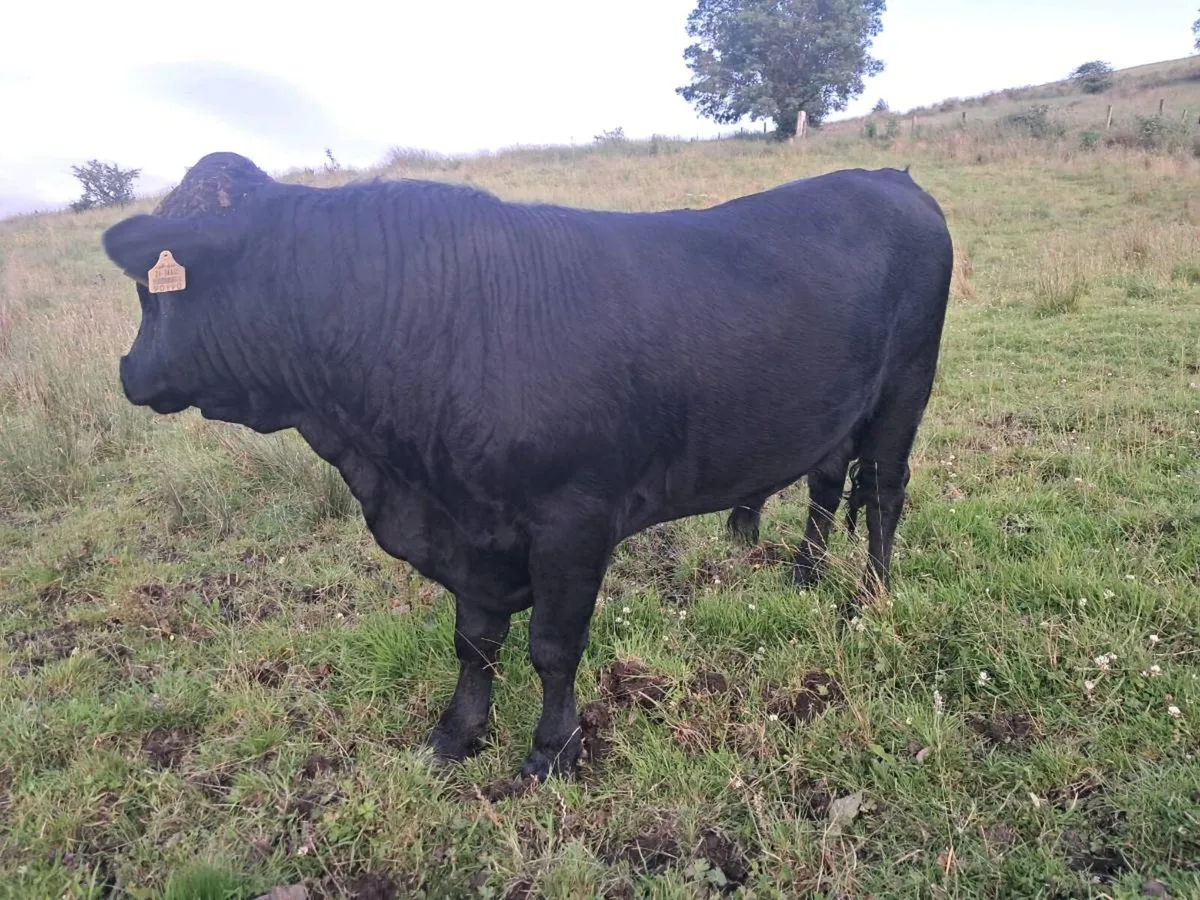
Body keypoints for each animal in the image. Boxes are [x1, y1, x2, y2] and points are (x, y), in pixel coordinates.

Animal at [101, 151, 953, 781]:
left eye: (157, 288)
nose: (128, 372)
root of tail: (888, 177)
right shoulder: (471, 532)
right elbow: (475, 640)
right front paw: (456, 734)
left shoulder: (573, 521)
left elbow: (552, 645)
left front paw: (552, 750)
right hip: (837, 407)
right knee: (827, 477)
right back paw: (804, 573)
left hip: (905, 389)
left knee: (884, 491)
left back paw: (869, 596)